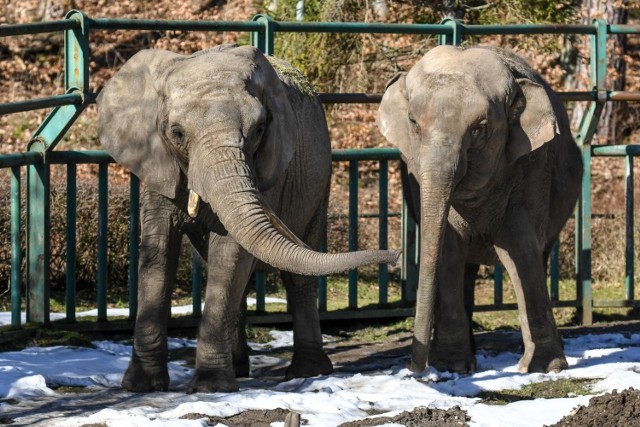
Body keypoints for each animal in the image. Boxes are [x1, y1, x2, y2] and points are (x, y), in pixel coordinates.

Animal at [95, 44, 398, 394]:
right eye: (177, 133)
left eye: (258, 130)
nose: (395, 256)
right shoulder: (157, 165)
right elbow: (158, 251)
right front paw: (141, 386)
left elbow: (230, 251)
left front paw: (210, 387)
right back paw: (240, 368)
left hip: (319, 181)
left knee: (296, 277)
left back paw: (306, 371)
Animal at [378, 45, 584, 376]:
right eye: (413, 122)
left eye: (478, 130)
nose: (413, 367)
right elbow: (448, 251)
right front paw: (451, 365)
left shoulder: (531, 168)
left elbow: (520, 249)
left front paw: (543, 368)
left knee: (537, 255)